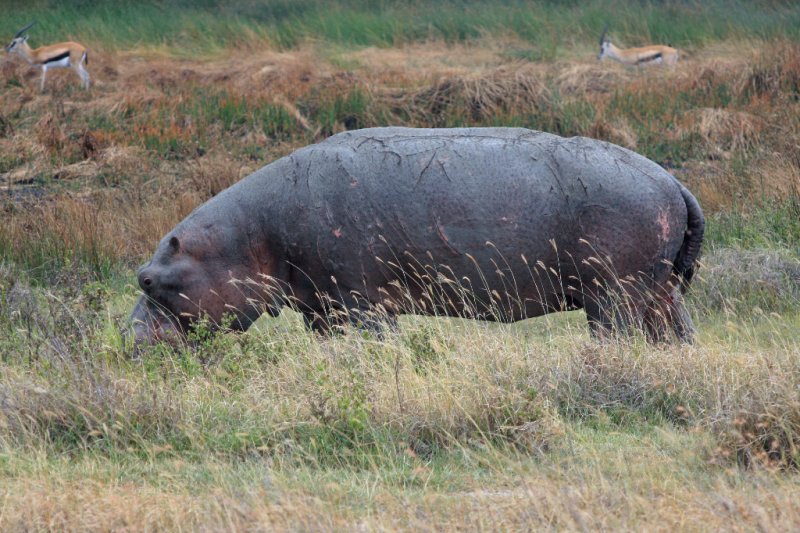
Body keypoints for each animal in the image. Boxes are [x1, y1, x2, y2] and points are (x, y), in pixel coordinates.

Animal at [133, 129, 708, 344]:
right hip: (657, 290)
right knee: (675, 334)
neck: (249, 234)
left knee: (618, 335)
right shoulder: (321, 308)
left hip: (613, 292)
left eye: (148, 280)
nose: (128, 340)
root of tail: (672, 180)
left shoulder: (360, 301)